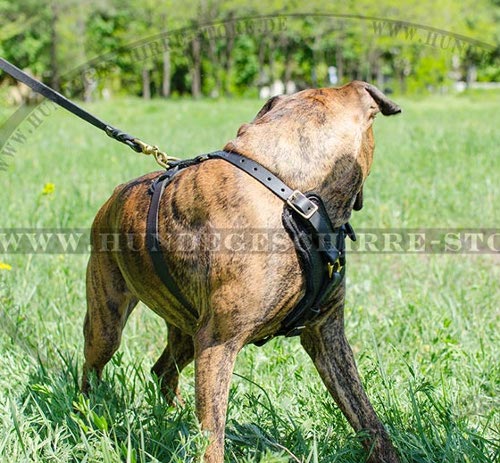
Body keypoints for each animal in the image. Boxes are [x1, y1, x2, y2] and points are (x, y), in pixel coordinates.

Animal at [82, 81, 402, 462]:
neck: (291, 193)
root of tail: (114, 196)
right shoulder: (218, 344)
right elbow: (212, 438)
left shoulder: (325, 335)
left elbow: (367, 417)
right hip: (109, 323)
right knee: (91, 369)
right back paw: (86, 412)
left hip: (186, 331)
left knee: (162, 370)